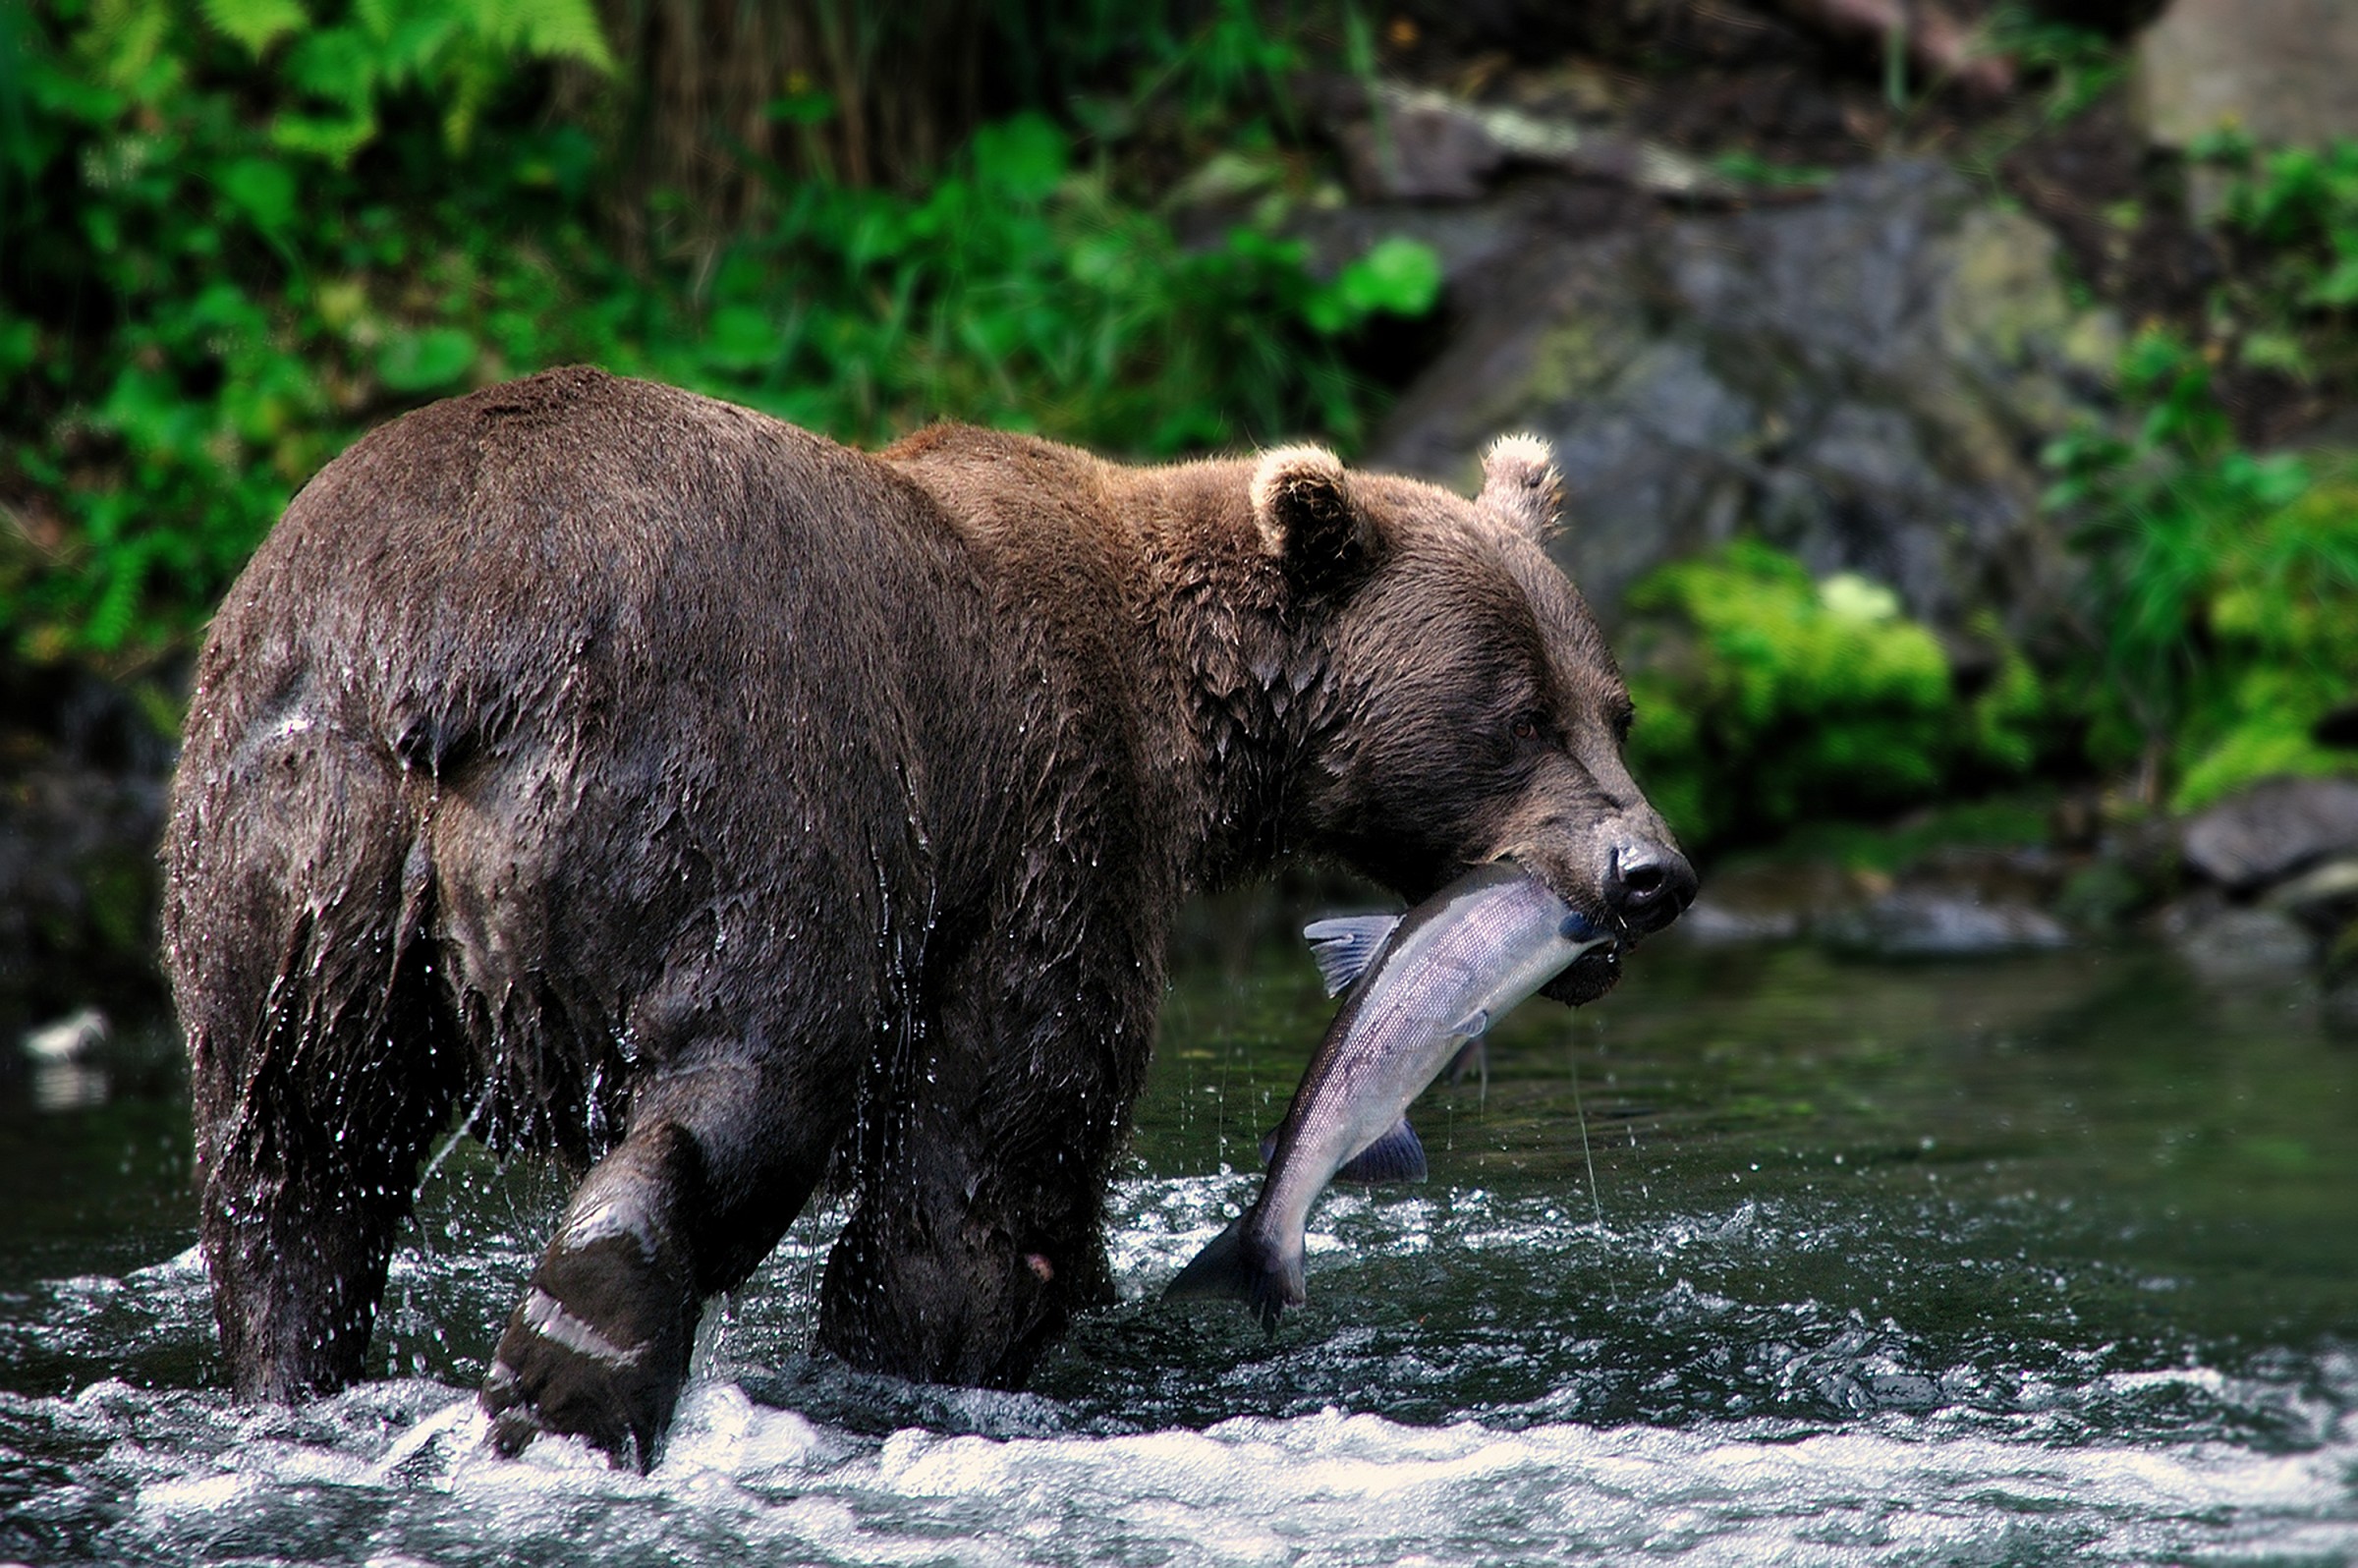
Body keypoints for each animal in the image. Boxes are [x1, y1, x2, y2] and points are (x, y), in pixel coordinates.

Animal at [161, 366, 1694, 1470]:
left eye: (1610, 704)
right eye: (1515, 712)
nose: (1652, 871)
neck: (1188, 729)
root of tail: (439, 653)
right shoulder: (1046, 820)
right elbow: (991, 1167)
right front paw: (954, 1342)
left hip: (286, 859)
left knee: (293, 1161)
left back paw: (304, 1366)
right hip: (734, 788)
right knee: (749, 1068)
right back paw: (577, 1359)